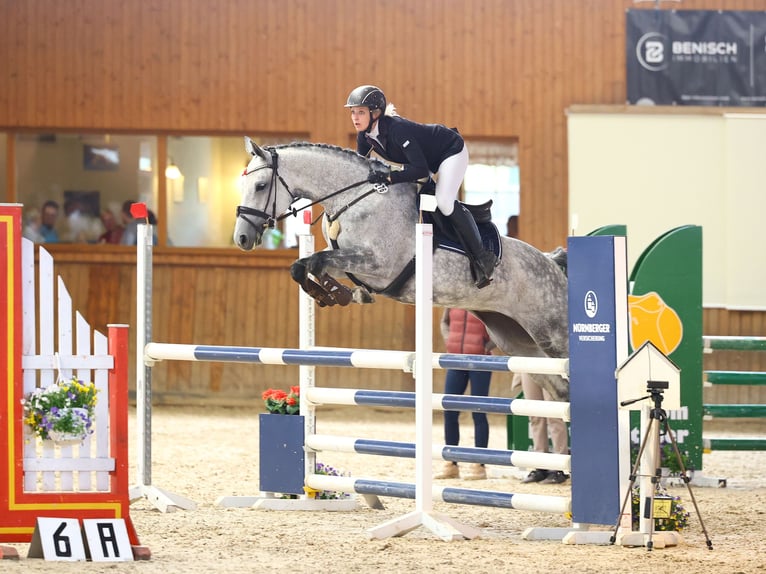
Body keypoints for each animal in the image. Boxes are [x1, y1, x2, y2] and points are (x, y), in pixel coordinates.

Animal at [233, 139, 570, 401]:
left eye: (261, 186)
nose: (242, 238)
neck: (356, 200)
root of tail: (552, 263)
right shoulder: (351, 263)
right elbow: (304, 266)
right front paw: (337, 294)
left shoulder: (378, 265)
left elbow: (317, 262)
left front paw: (337, 294)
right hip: (516, 341)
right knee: (561, 390)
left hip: (553, 333)